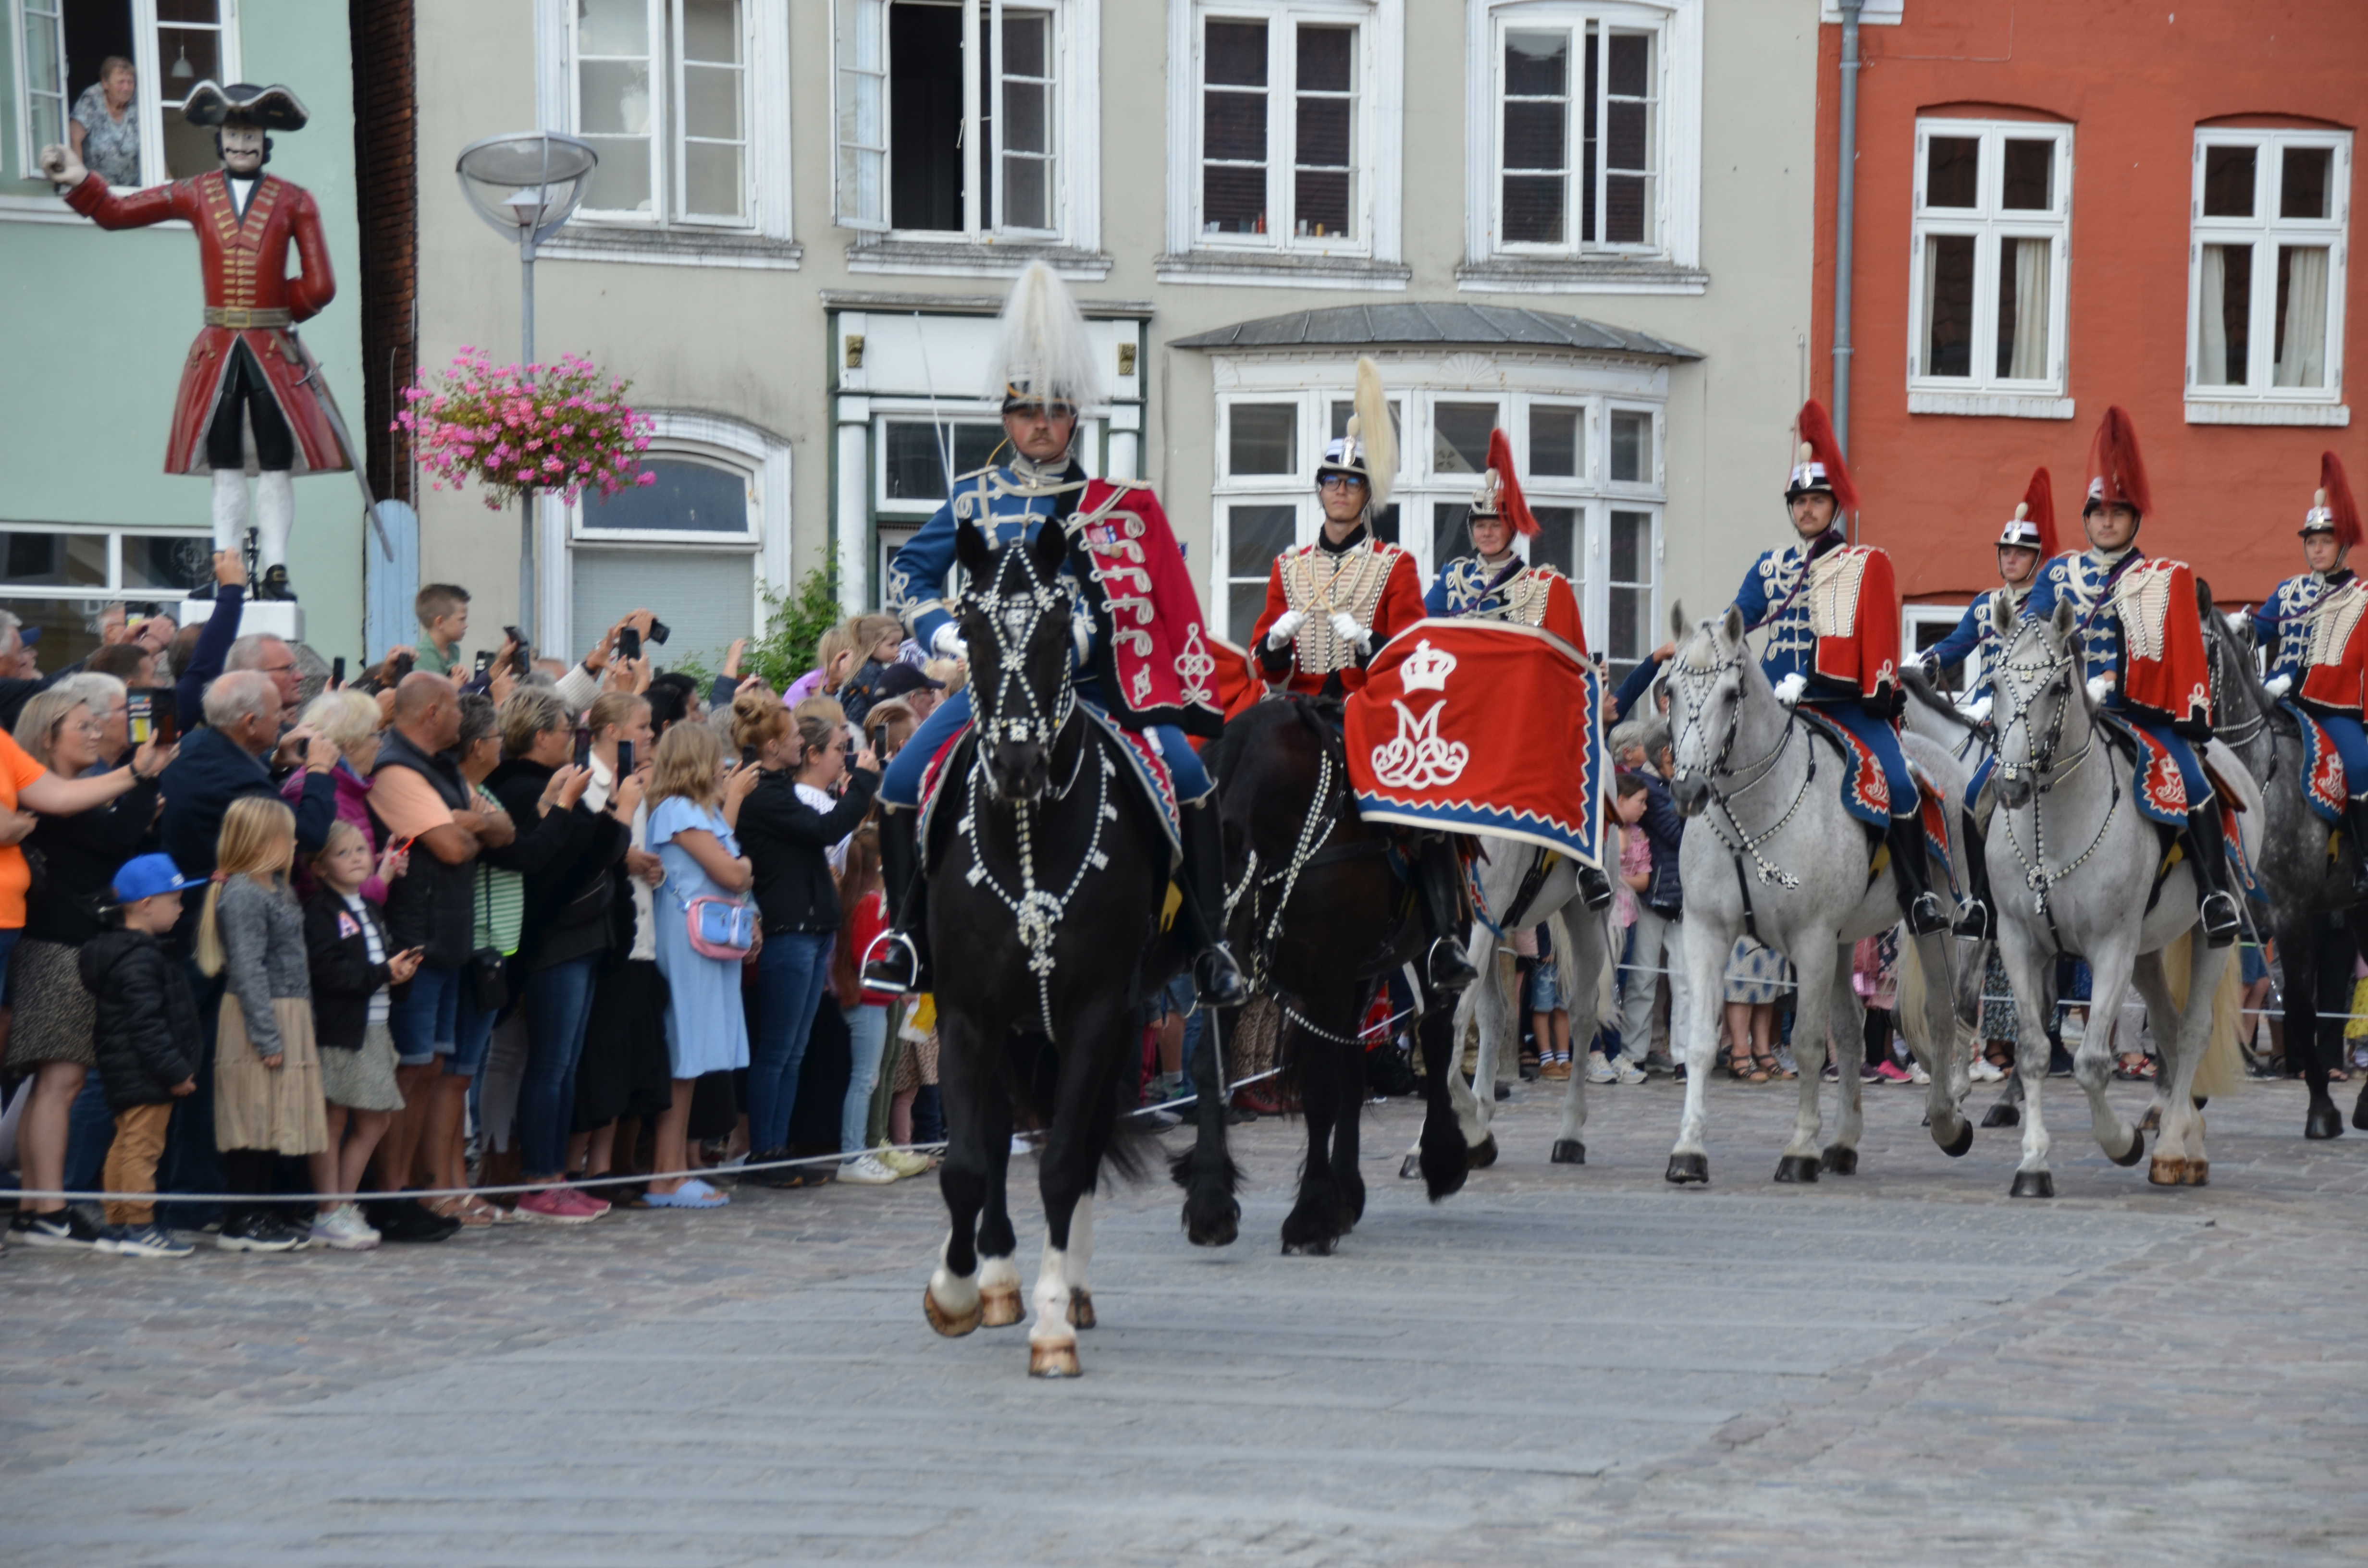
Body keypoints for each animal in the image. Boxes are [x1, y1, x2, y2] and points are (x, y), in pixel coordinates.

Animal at [918, 517, 1188, 1377]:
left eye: (1049, 629)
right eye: (970, 627)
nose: (1015, 762)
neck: (1027, 836)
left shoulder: (1099, 1011)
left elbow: (1067, 1160)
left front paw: (1051, 1323)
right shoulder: (966, 1012)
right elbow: (968, 1162)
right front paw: (957, 1292)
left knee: (1084, 1138)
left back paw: (1068, 1288)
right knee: (999, 1133)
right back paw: (999, 1275)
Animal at [1178, 694, 1469, 1256]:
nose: (1211, 973)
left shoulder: (1324, 979)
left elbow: (1318, 1089)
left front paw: (1310, 1217)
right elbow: (1208, 1068)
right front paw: (1210, 1202)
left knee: (1436, 1034)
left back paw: (1440, 1160)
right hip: (1359, 978)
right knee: (1354, 1067)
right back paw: (1348, 1193)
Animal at [1658, 605, 1972, 1185]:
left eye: (1731, 695)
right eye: (1668, 690)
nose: (1687, 790)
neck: (1752, 811)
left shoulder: (1811, 941)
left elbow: (1805, 1043)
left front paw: (1799, 1148)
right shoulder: (1707, 933)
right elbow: (1700, 1043)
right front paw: (1688, 1150)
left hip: (1932, 923)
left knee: (1942, 1013)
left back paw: (1946, 1121)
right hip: (1845, 942)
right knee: (1851, 1032)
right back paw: (1844, 1142)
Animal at [1981, 595, 2256, 1194]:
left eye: (2057, 688)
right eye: (1993, 682)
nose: (2010, 785)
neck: (2051, 832)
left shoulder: (2109, 947)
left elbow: (2089, 1062)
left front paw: (2121, 1141)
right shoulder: (2019, 943)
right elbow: (2034, 1051)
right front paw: (2032, 1164)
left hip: (2207, 936)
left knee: (2192, 1030)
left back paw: (2172, 1147)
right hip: (2146, 951)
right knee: (2170, 1029)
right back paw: (2186, 1137)